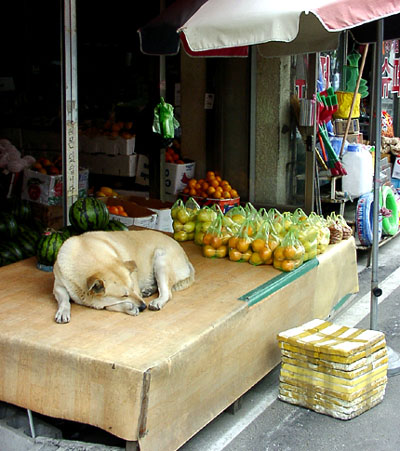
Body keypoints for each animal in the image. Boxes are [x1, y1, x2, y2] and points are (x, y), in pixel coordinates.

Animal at [52, 229, 195, 323]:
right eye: (123, 295)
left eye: (132, 289)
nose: (143, 307)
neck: (85, 253)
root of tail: (184, 255)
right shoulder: (58, 286)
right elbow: (64, 299)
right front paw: (63, 311)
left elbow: (106, 304)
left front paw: (129, 307)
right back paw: (148, 290)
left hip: (161, 261)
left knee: (166, 292)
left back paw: (157, 301)